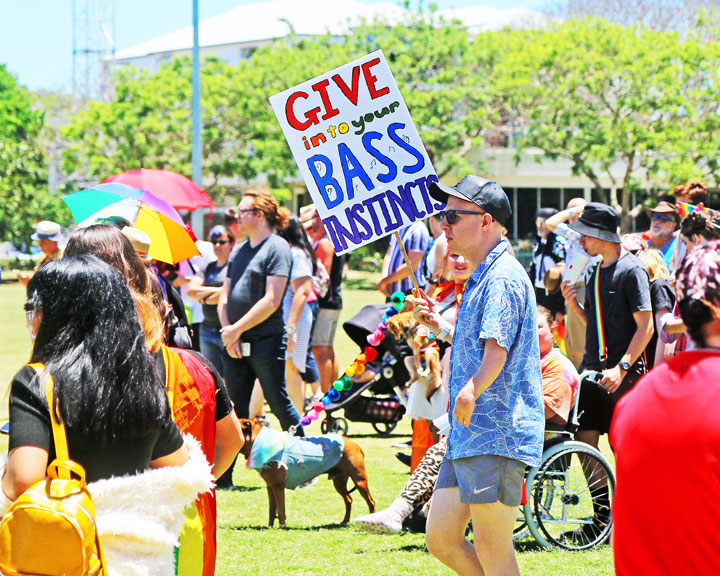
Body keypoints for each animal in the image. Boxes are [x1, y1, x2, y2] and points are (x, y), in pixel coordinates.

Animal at [240, 416, 380, 528]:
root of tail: (355, 443)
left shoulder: (278, 486)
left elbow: (280, 510)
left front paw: (282, 527)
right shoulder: (270, 485)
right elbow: (272, 509)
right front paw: (269, 527)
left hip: (359, 480)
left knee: (371, 501)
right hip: (339, 480)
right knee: (348, 499)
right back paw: (345, 520)